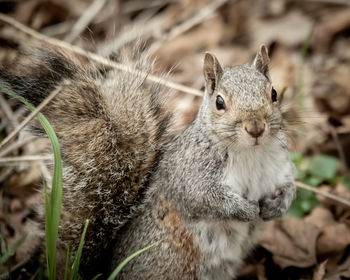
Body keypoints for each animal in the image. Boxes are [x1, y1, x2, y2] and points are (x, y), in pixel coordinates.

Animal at [0, 43, 296, 278]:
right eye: (219, 102)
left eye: (273, 93)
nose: (256, 128)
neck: (250, 153)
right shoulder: (190, 174)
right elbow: (204, 199)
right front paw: (246, 211)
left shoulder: (280, 166)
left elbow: (290, 186)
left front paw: (278, 206)